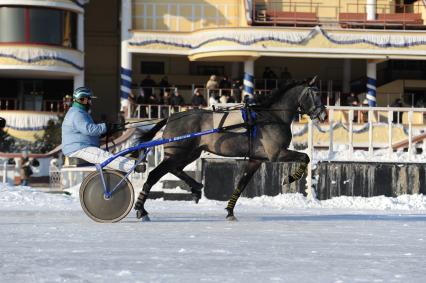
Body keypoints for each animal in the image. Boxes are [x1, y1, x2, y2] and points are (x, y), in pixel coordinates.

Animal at [133, 78, 326, 222]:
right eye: (316, 94)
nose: (323, 115)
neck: (272, 117)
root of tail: (172, 117)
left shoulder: (256, 159)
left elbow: (241, 185)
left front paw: (230, 211)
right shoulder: (276, 154)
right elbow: (305, 157)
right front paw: (290, 178)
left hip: (190, 153)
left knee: (176, 169)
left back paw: (196, 187)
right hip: (177, 153)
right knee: (155, 174)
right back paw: (141, 210)